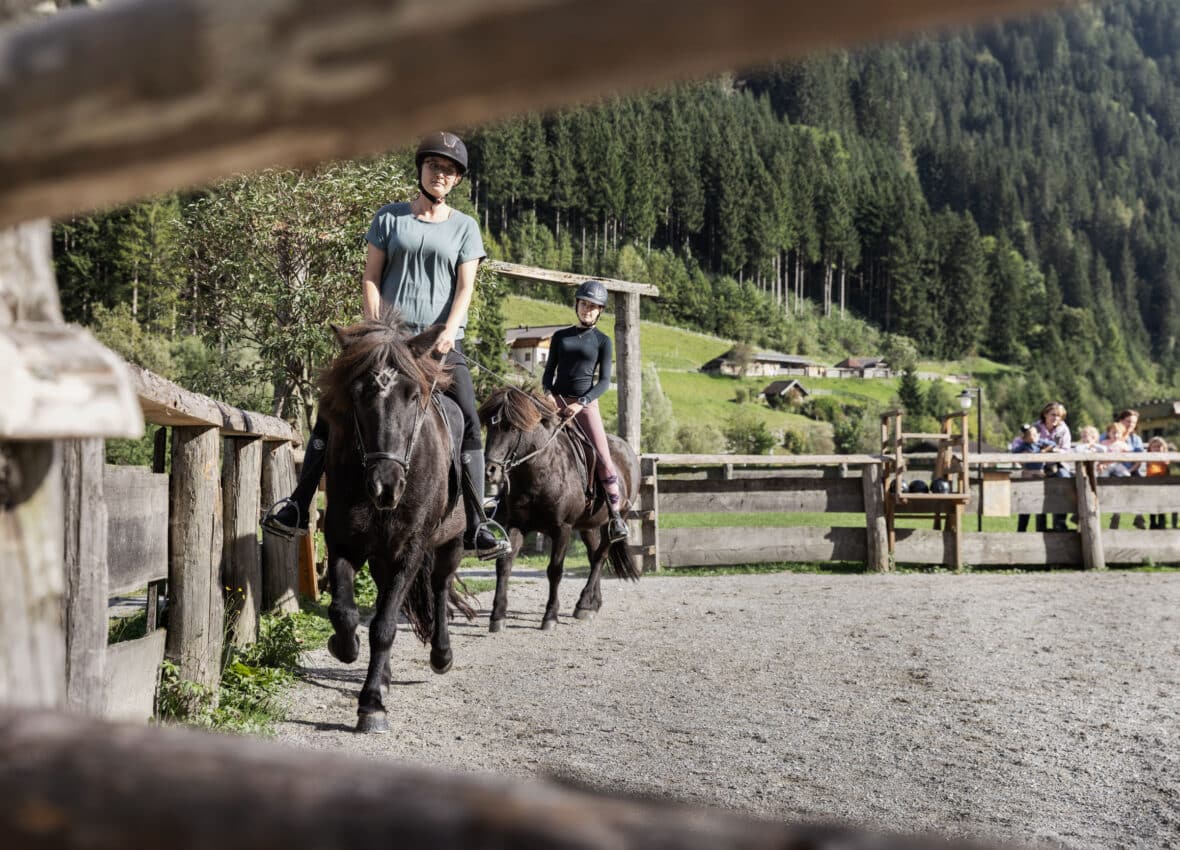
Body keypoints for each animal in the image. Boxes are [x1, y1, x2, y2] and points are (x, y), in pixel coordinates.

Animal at [320, 316, 476, 731]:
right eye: (357, 394)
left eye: (411, 395)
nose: (385, 486)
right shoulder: (342, 542)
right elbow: (344, 612)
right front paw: (345, 647)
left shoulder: (410, 550)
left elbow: (385, 625)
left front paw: (372, 703)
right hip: (380, 555)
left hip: (451, 543)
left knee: (439, 587)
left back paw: (441, 655)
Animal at [479, 387, 641, 632]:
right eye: (490, 425)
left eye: (512, 427)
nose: (490, 471)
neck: (539, 471)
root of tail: (627, 450)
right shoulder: (516, 524)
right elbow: (504, 565)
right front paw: (497, 616)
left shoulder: (562, 528)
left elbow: (555, 570)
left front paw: (550, 617)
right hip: (588, 526)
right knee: (593, 555)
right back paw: (592, 603)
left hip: (612, 521)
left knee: (600, 556)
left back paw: (584, 604)